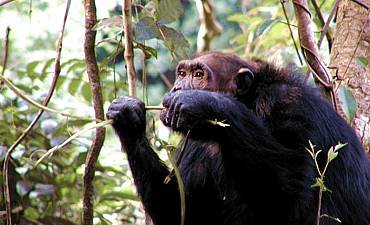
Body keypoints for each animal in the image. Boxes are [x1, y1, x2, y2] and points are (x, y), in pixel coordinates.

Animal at [105, 51, 368, 225]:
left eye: (198, 74)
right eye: (181, 73)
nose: (177, 88)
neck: (250, 102)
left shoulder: (292, 107)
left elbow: (290, 195)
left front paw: (205, 103)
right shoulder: (193, 145)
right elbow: (184, 210)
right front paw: (128, 116)